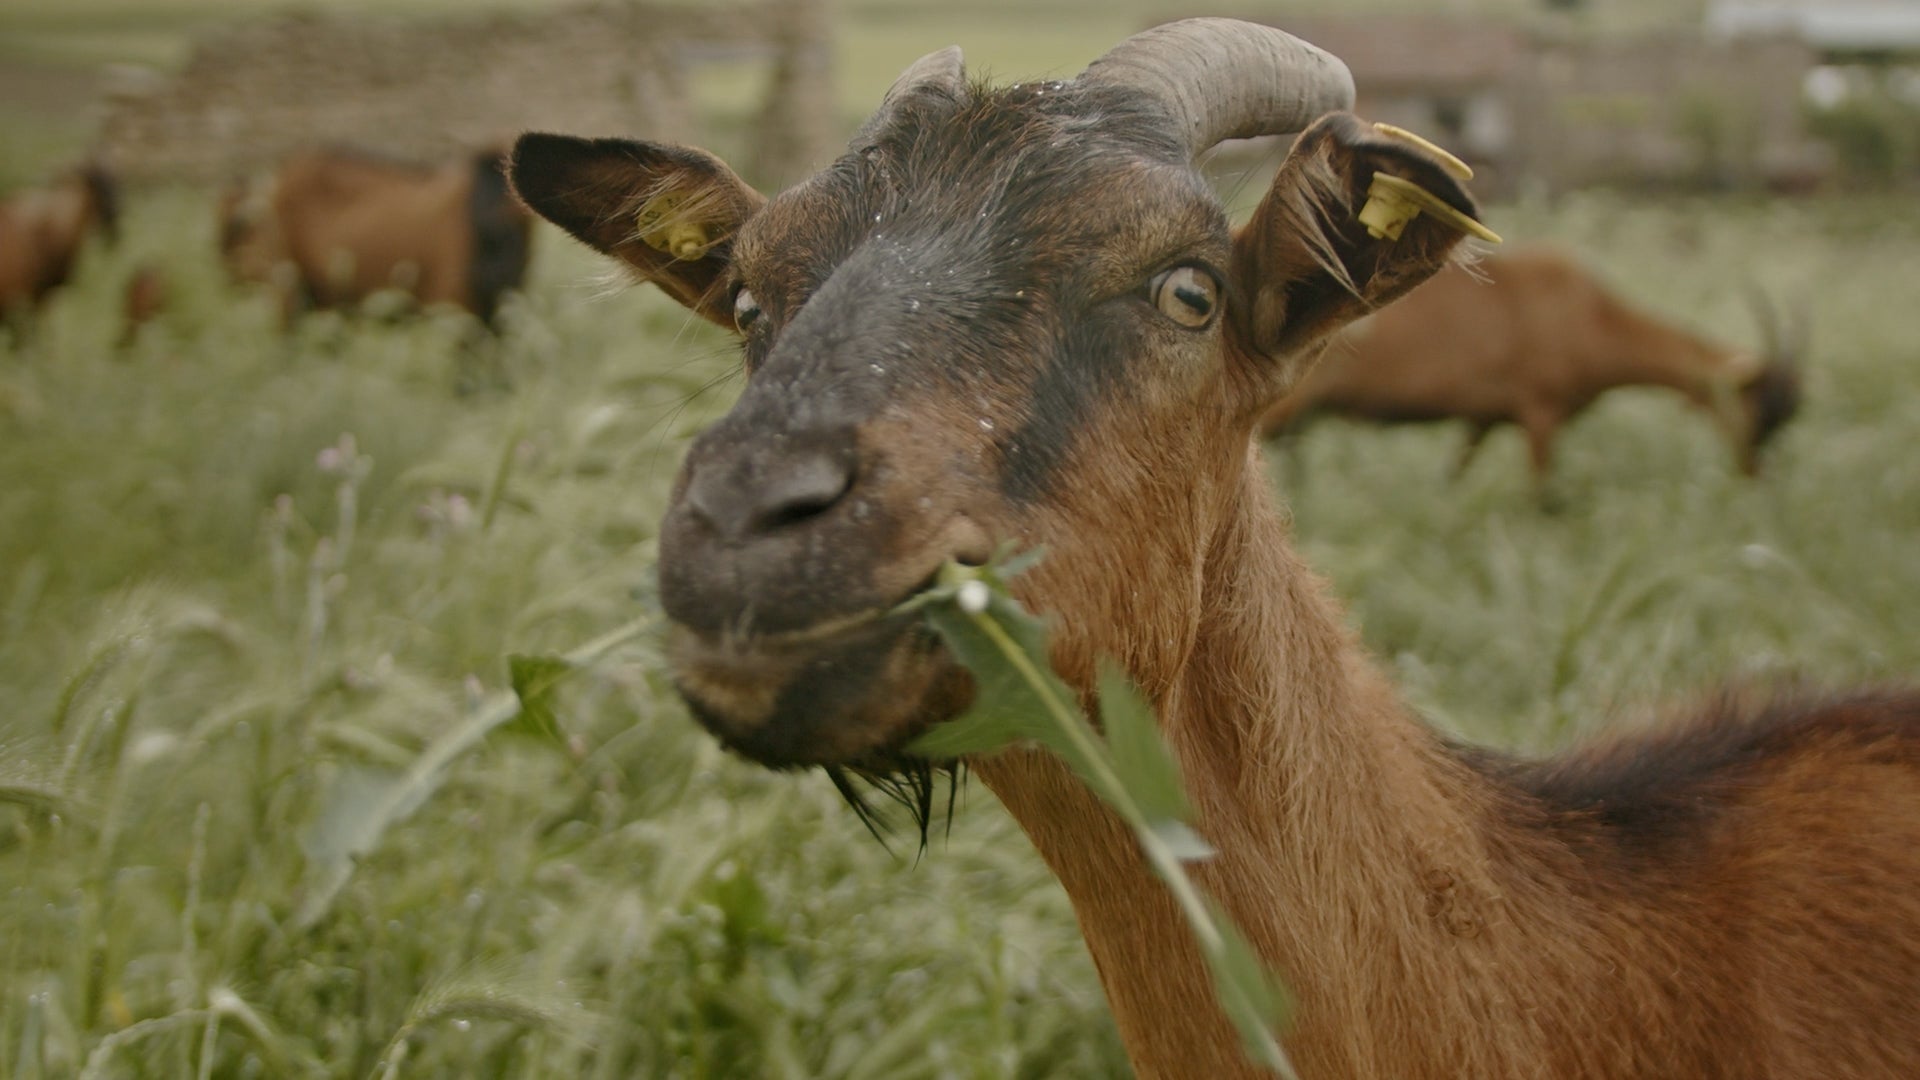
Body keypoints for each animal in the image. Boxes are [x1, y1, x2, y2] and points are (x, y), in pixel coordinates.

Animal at [1261, 248, 1805, 485]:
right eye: (1758, 406)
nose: (1755, 474)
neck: (1587, 313)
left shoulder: (1482, 421)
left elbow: (1453, 475)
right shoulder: (1542, 416)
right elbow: (1544, 502)